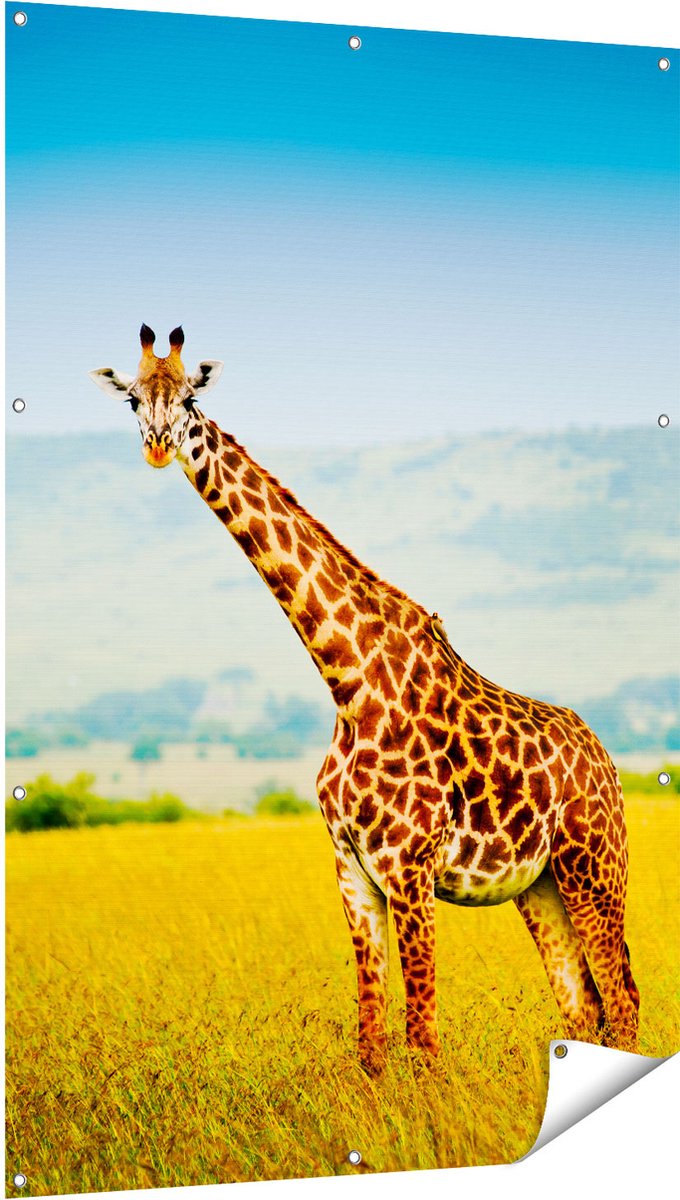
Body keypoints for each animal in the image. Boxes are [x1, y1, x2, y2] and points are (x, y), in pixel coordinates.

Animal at [91, 326, 640, 1072]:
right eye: (133, 399)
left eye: (190, 397)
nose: (155, 445)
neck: (348, 682)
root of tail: (606, 759)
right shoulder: (351, 869)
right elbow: (372, 1040)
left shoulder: (409, 867)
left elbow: (423, 1035)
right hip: (541, 884)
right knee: (584, 1009)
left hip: (595, 867)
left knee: (624, 1000)